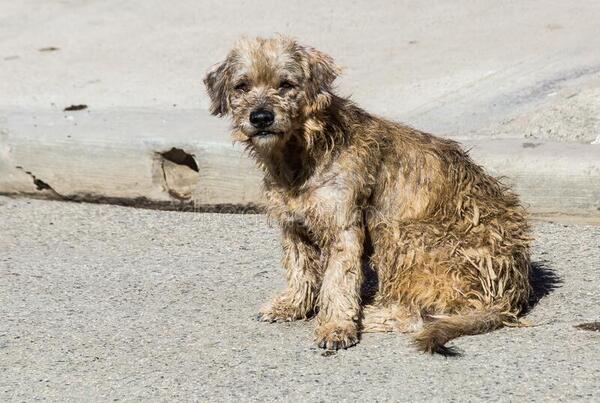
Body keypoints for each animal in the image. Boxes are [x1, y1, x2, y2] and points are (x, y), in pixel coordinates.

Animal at [204, 35, 532, 356]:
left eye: (285, 84)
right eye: (241, 86)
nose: (260, 117)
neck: (304, 151)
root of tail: (509, 294)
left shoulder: (343, 228)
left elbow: (338, 282)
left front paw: (335, 326)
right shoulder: (293, 226)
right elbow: (299, 270)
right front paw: (292, 305)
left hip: (401, 234)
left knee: (414, 314)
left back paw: (369, 313)